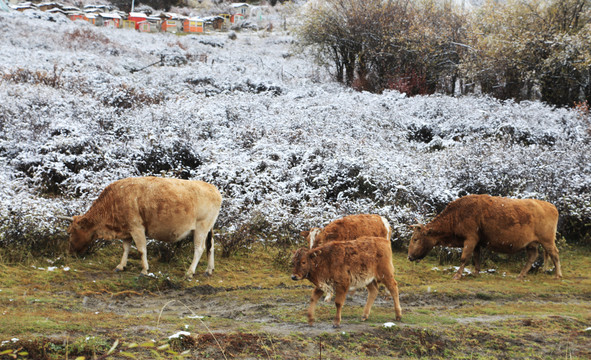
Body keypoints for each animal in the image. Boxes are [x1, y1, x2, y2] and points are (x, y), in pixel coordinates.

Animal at [63, 177, 222, 278]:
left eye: (70, 232)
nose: (69, 252)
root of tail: (213, 188)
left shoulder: (137, 229)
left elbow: (141, 250)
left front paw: (144, 270)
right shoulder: (127, 231)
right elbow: (126, 248)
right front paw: (121, 266)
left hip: (201, 228)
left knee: (199, 249)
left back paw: (189, 272)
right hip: (208, 229)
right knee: (210, 246)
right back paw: (209, 270)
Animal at [410, 194, 560, 282]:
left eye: (416, 239)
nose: (409, 256)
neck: (458, 214)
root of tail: (551, 206)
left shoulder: (470, 239)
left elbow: (464, 258)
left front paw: (457, 275)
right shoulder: (476, 242)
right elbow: (476, 257)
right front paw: (476, 273)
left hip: (547, 241)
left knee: (555, 254)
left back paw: (557, 275)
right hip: (531, 244)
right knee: (532, 257)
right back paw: (520, 276)